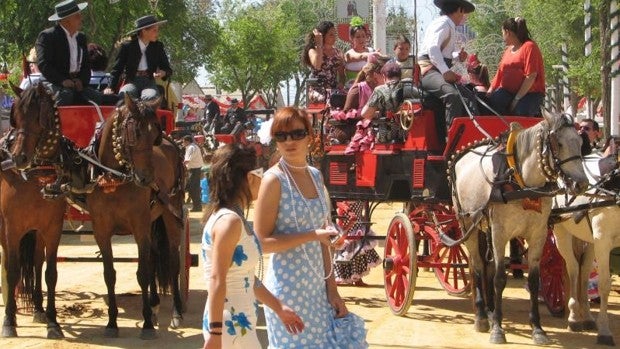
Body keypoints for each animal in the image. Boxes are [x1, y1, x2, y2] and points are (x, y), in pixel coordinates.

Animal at [0, 83, 66, 338]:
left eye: (40, 117)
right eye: (16, 117)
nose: (19, 157)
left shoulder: (53, 228)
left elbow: (50, 273)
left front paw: (53, 322)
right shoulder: (13, 227)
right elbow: (13, 270)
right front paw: (9, 321)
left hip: (37, 232)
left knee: (37, 263)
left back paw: (38, 309)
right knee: (9, 263)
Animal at [448, 113, 588, 344]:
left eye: (580, 142)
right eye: (558, 143)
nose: (581, 184)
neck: (523, 184)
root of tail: (461, 156)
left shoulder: (538, 234)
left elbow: (533, 280)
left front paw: (537, 329)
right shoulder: (500, 232)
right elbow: (499, 279)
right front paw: (497, 329)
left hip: (483, 226)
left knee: (486, 265)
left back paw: (489, 309)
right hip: (468, 224)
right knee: (476, 266)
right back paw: (481, 316)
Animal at [552, 151, 620, 344]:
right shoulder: (603, 241)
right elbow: (604, 285)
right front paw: (604, 331)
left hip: (589, 241)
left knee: (584, 271)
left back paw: (588, 317)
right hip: (561, 232)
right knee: (574, 269)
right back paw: (574, 318)